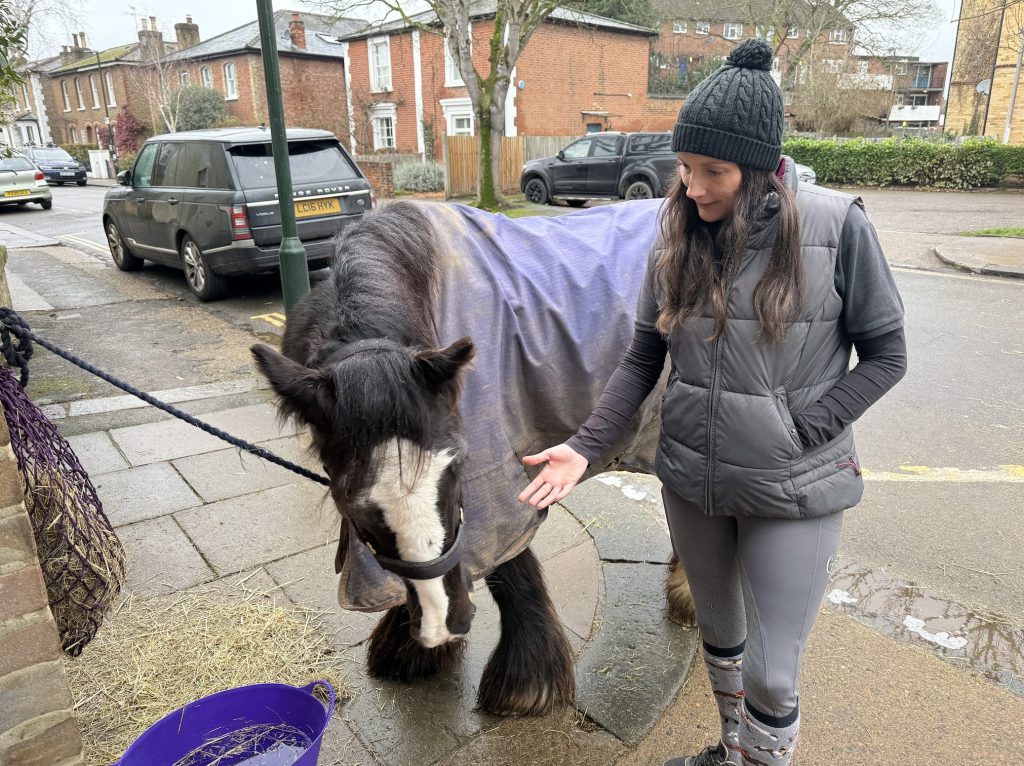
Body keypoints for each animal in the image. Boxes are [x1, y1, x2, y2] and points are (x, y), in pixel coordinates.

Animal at [252, 199, 694, 716]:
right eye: (349, 500)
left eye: (457, 467)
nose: (445, 623)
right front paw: (413, 647)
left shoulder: (498, 484)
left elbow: (507, 567)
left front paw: (526, 684)